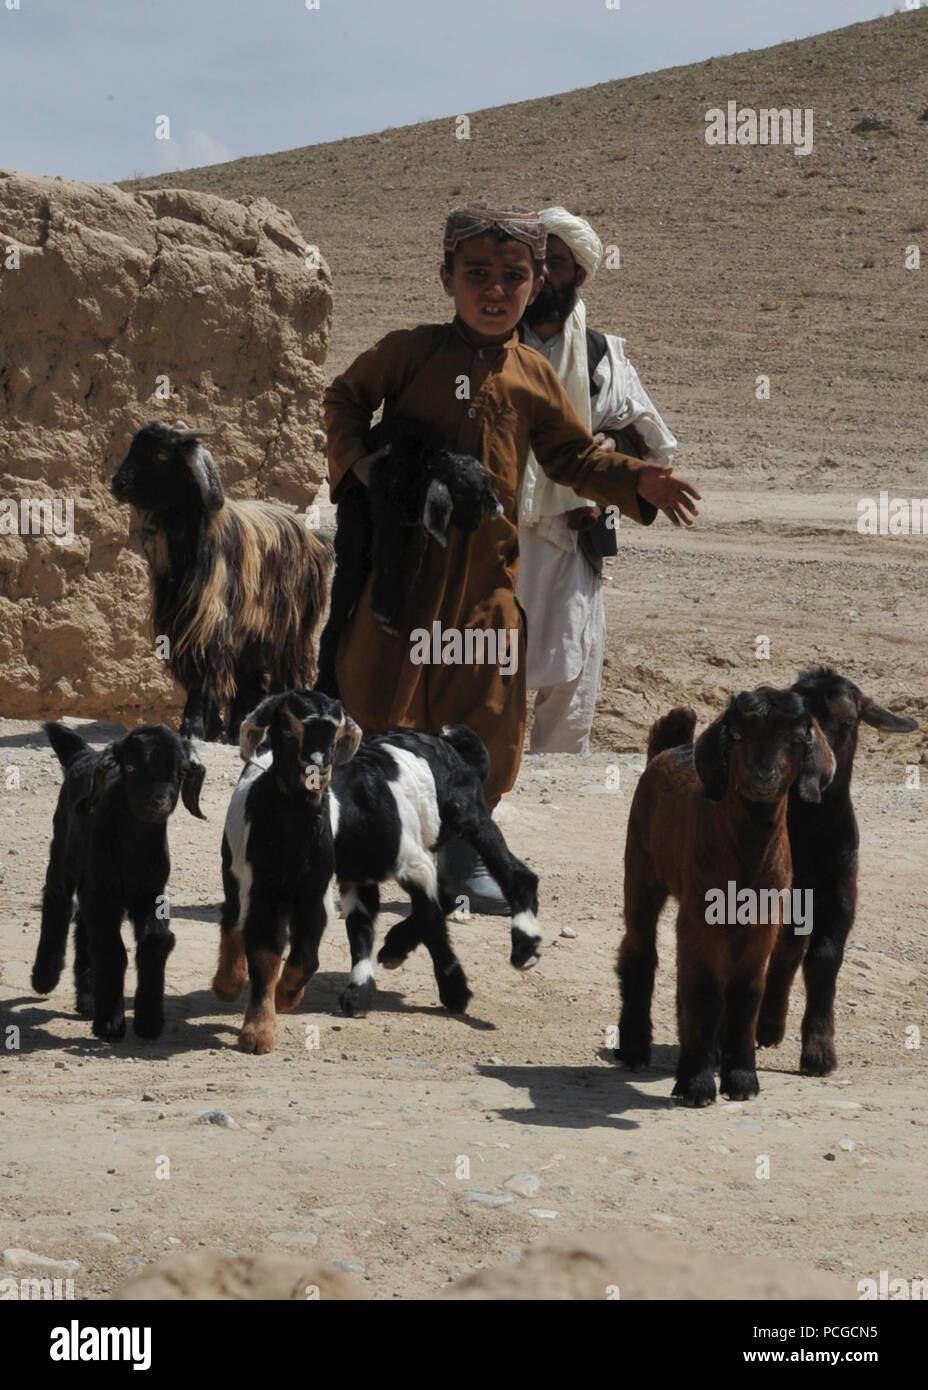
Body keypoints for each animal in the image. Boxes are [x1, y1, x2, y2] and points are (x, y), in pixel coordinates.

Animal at [111, 419, 333, 745]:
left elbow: (206, 669)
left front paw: (192, 727)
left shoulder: (210, 617)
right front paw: (211, 727)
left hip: (290, 629)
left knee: (281, 673)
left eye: (161, 455)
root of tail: (314, 539)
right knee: (250, 675)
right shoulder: (181, 621)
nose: (117, 484)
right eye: (133, 447)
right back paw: (239, 725)